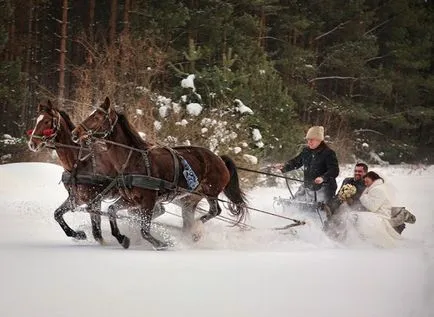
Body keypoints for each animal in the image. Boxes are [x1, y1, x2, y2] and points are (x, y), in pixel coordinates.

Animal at [28, 100, 136, 246]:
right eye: (36, 120)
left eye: (46, 121)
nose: (32, 144)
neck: (79, 162)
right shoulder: (76, 199)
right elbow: (57, 214)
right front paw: (79, 234)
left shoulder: (94, 200)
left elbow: (97, 233)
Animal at [71, 96, 248, 249]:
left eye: (97, 117)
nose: (75, 133)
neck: (134, 159)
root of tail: (219, 159)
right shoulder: (131, 200)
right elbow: (112, 210)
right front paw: (122, 238)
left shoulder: (149, 200)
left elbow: (144, 230)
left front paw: (161, 244)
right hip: (190, 199)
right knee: (190, 218)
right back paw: (189, 234)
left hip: (210, 191)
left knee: (214, 211)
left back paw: (196, 231)